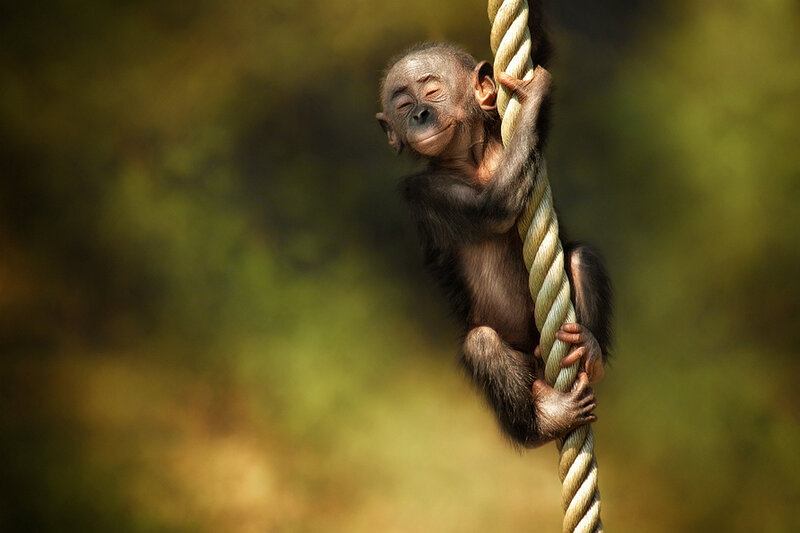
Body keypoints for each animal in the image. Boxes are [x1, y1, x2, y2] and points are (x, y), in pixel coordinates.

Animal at [376, 41, 613, 448]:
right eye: (403, 104)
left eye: (432, 91)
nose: (420, 114)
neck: (470, 160)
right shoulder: (422, 191)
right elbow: (494, 208)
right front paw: (532, 98)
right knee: (481, 344)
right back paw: (546, 420)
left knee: (581, 258)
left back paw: (589, 350)